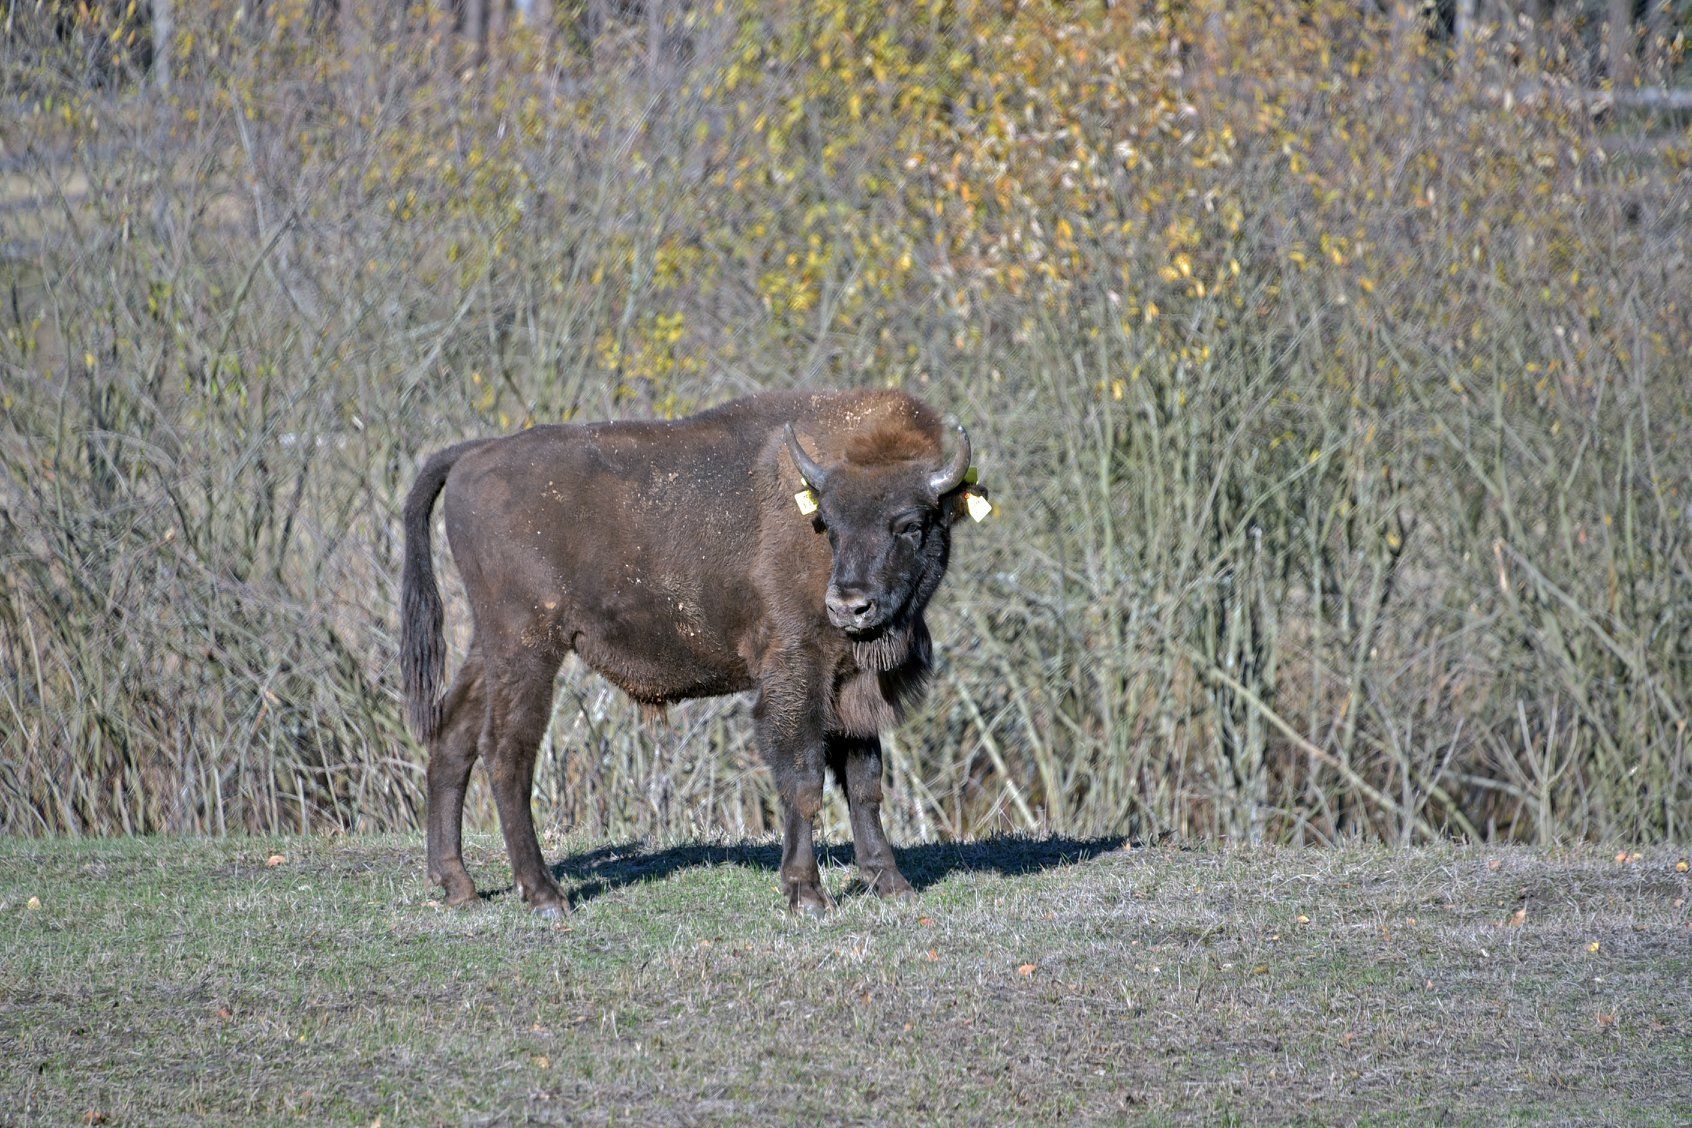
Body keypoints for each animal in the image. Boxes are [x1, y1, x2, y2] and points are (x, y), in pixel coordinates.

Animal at [402, 390, 988, 919]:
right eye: (830, 524)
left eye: (910, 524)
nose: (849, 605)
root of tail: (475, 453)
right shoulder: (797, 673)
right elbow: (803, 778)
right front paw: (807, 895)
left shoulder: (849, 688)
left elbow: (865, 785)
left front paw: (891, 885)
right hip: (527, 646)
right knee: (506, 753)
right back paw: (546, 896)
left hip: (490, 647)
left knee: (453, 738)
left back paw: (457, 885)